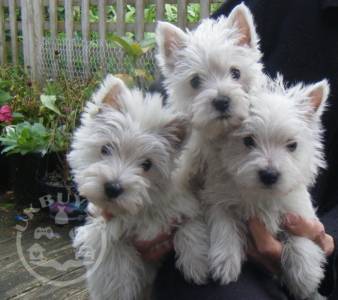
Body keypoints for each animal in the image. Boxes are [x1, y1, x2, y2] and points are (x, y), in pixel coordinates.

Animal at [68, 75, 209, 300]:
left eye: (147, 164)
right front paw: (118, 292)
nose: (113, 188)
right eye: (105, 148)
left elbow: (189, 227)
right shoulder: (103, 232)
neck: (139, 210)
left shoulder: (185, 207)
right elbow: (115, 266)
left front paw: (198, 267)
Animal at [205, 76, 328, 298]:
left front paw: (306, 276)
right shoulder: (219, 199)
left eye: (292, 145)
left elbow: (300, 236)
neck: (262, 196)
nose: (269, 175)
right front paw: (225, 262)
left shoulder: (298, 212)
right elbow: (224, 224)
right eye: (248, 140)